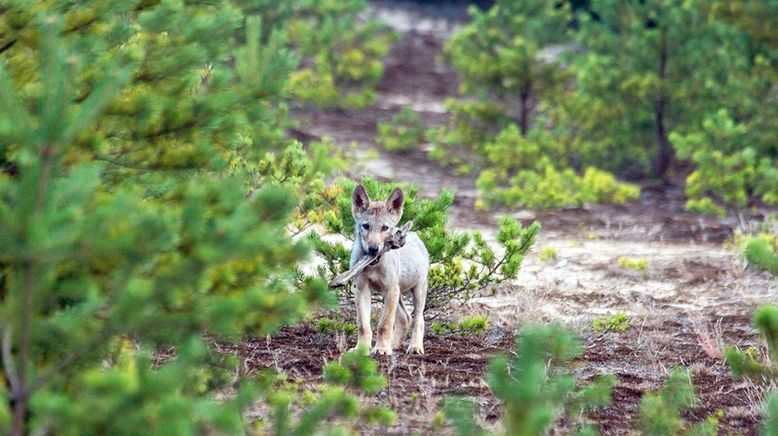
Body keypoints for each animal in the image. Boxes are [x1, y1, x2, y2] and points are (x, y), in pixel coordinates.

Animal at [348, 184, 428, 354]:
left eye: (385, 228)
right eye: (365, 226)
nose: (373, 249)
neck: (374, 266)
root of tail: (415, 235)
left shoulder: (391, 289)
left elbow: (384, 324)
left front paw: (382, 349)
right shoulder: (362, 289)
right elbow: (363, 325)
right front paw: (361, 349)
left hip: (416, 291)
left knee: (418, 319)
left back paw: (415, 346)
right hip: (394, 294)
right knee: (406, 317)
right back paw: (394, 345)